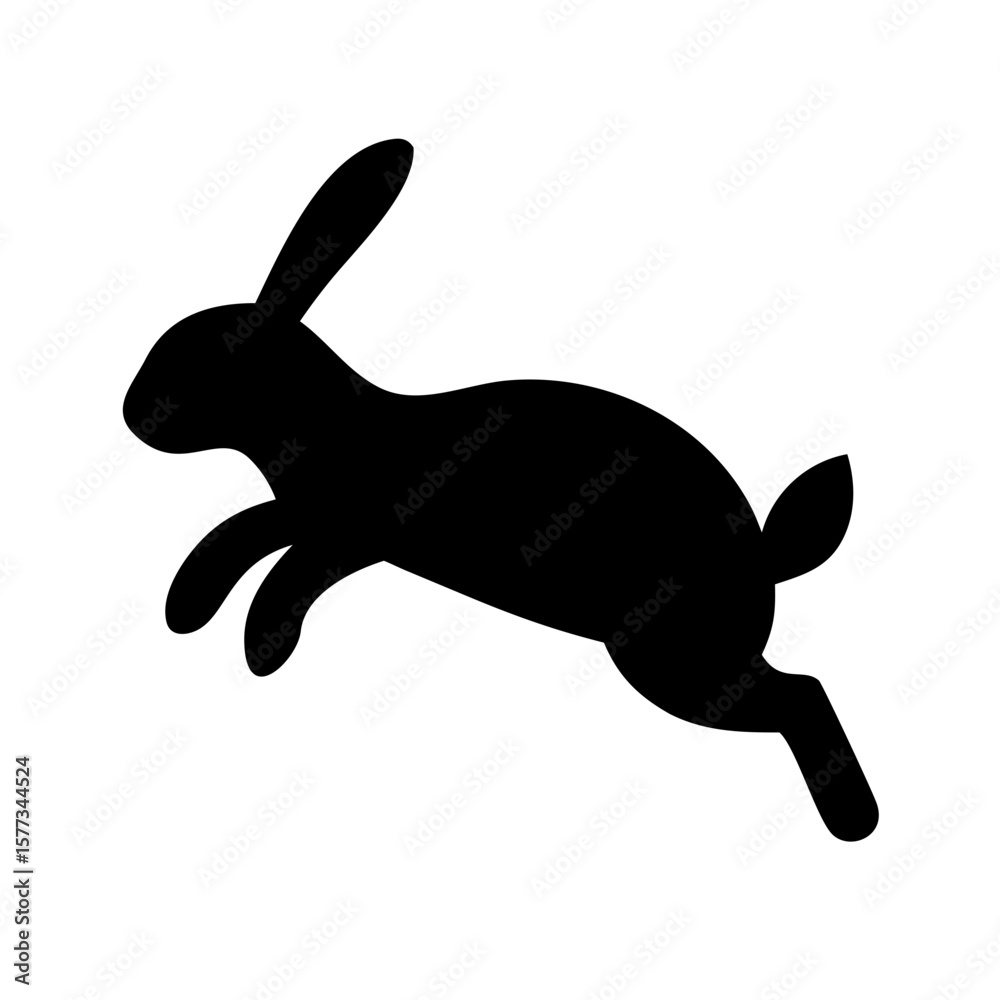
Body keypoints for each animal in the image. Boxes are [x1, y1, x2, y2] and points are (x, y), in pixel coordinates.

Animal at [123, 138, 878, 841]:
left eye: (197, 366)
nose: (133, 415)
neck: (327, 421)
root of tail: (765, 556)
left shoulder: (355, 535)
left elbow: (291, 567)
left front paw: (262, 648)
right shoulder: (308, 513)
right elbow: (242, 530)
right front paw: (186, 606)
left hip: (676, 660)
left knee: (801, 695)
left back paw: (854, 819)